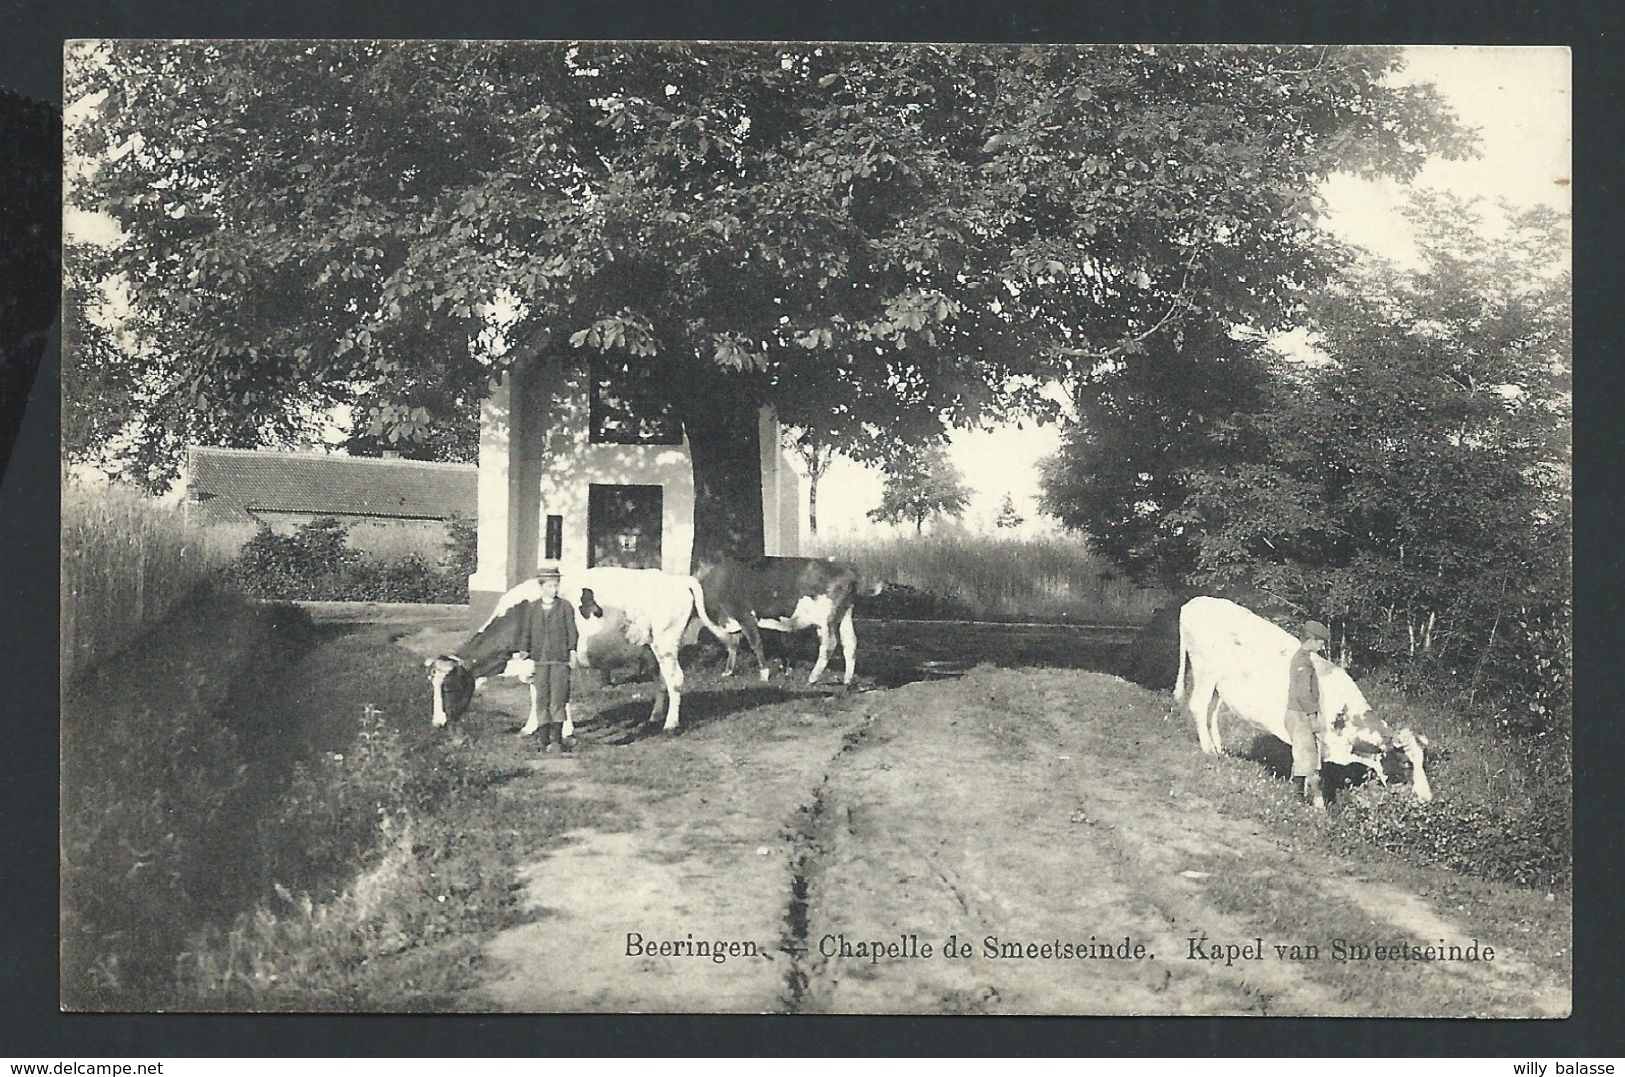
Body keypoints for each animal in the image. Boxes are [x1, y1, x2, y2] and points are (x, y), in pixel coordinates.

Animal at [425, 568, 724, 737]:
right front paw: (530, 728)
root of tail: (678, 579)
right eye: (433, 686)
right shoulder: (533, 663)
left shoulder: (561, 660)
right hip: (650, 648)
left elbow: (561, 697)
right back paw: (654, 717)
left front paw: (565, 730)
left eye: (448, 687)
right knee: (661, 680)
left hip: (667, 643)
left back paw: (670, 725)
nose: (437, 723)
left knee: (675, 680)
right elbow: (536, 694)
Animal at [695, 558, 877, 685]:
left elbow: (756, 644)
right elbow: (733, 645)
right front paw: (728, 671)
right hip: (845, 614)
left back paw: (812, 678)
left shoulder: (745, 616)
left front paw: (764, 674)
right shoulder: (734, 621)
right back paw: (847, 680)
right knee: (850, 643)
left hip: (826, 619)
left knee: (829, 644)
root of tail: (847, 571)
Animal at [1176, 597, 1430, 799]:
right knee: (1198, 706)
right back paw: (1209, 750)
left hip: (1219, 685)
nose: (1426, 798)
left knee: (1211, 711)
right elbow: (1313, 772)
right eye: (1406, 763)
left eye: (1422, 762)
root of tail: (1194, 602)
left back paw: (1220, 749)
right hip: (1205, 671)